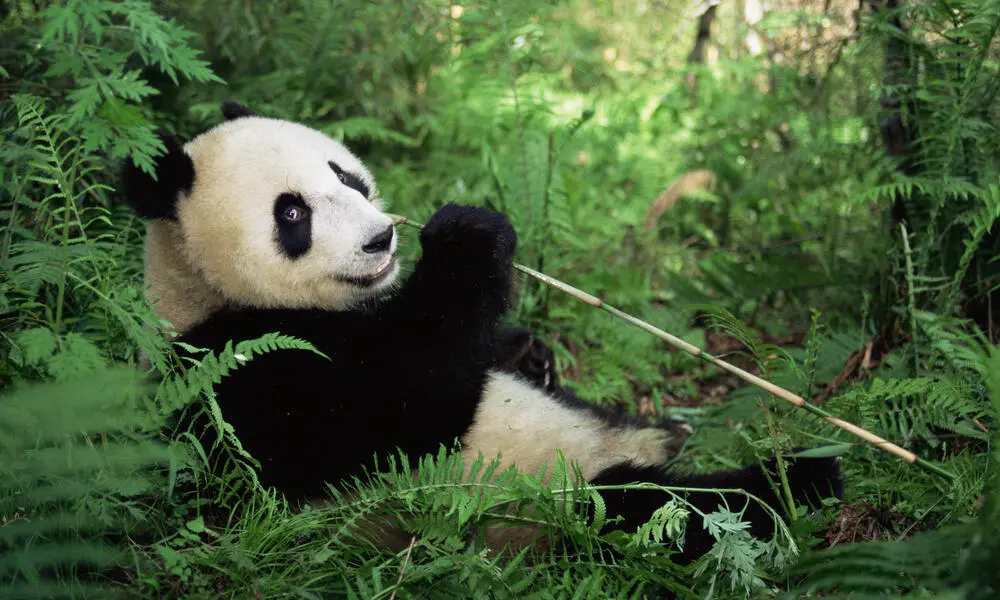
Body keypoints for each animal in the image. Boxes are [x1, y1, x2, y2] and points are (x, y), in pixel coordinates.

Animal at [122, 101, 843, 564]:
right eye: (292, 213)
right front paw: (469, 237)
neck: (201, 289)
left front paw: (529, 349)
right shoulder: (238, 372)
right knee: (667, 510)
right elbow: (402, 412)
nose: (381, 239)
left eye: (346, 176)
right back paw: (801, 481)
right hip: (550, 503)